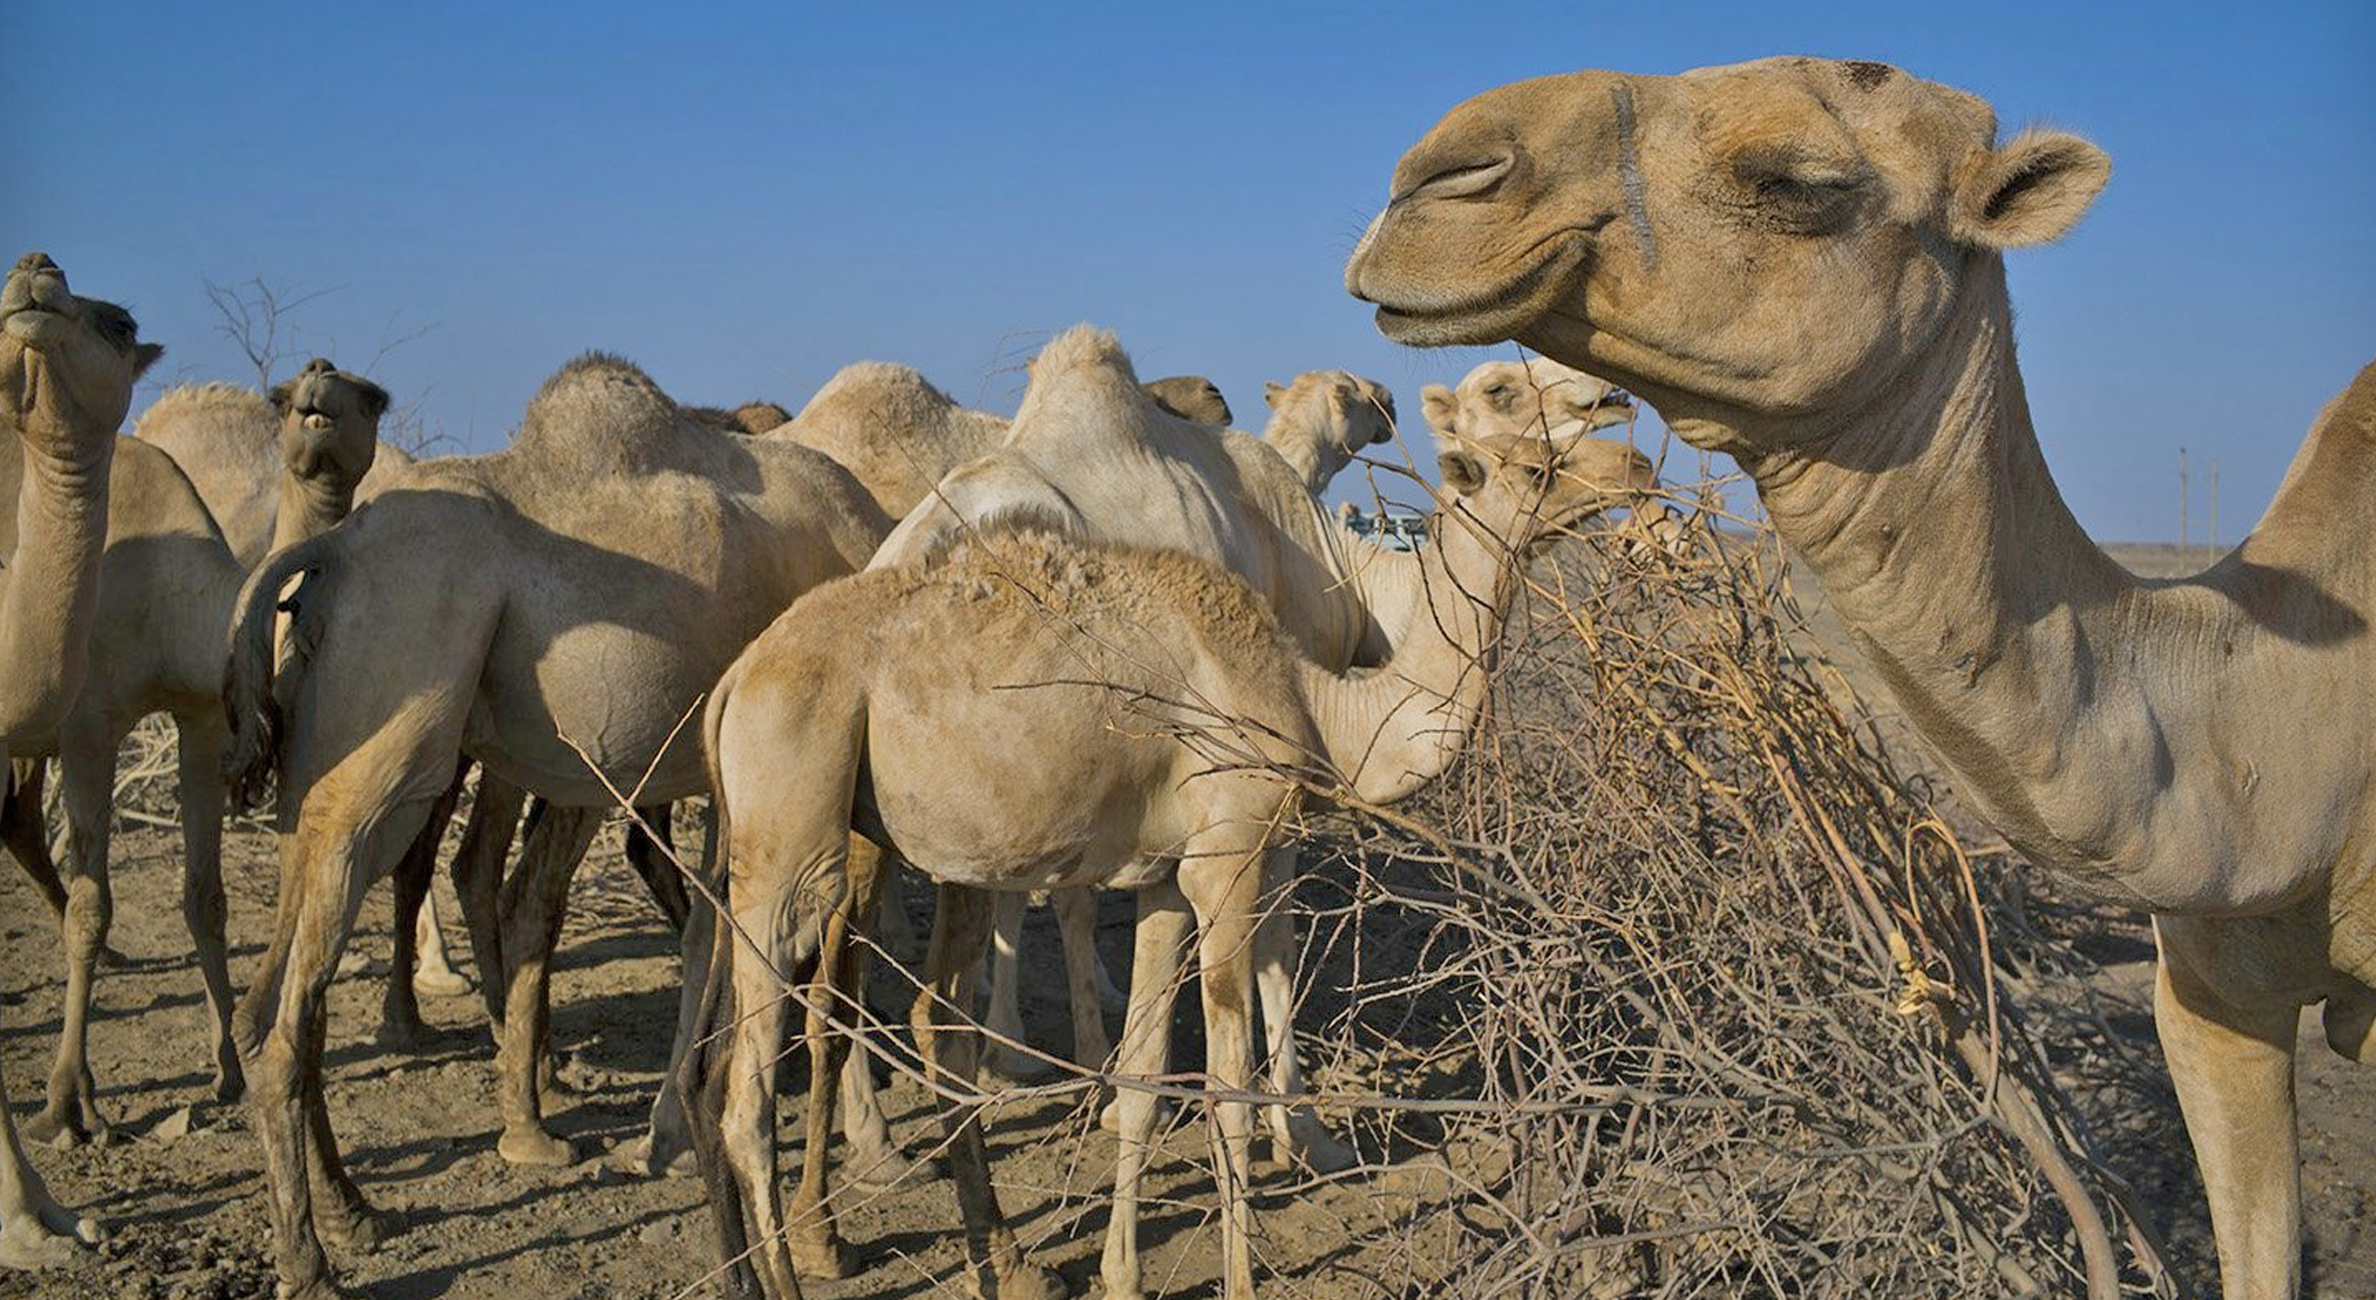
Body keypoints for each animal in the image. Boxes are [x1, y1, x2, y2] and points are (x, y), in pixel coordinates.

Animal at [218, 350, 902, 1300]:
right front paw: (827, 1229)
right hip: (390, 753)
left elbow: (708, 942)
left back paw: (358, 1211)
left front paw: (670, 1134)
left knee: (281, 1000)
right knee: (291, 1013)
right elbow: (830, 993)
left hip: (319, 763)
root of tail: (333, 550)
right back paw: (311, 1261)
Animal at [692, 343, 1660, 1299]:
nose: (1639, 463)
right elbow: (1229, 1076)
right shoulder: (1229, 857)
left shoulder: (1163, 878)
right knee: (749, 1094)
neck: (1313, 695)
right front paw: (1271, 1208)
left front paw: (1120, 1272)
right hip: (791, 824)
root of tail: (736, 680)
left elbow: (1145, 1076)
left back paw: (976, 1257)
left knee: (864, 1030)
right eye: (1531, 456)